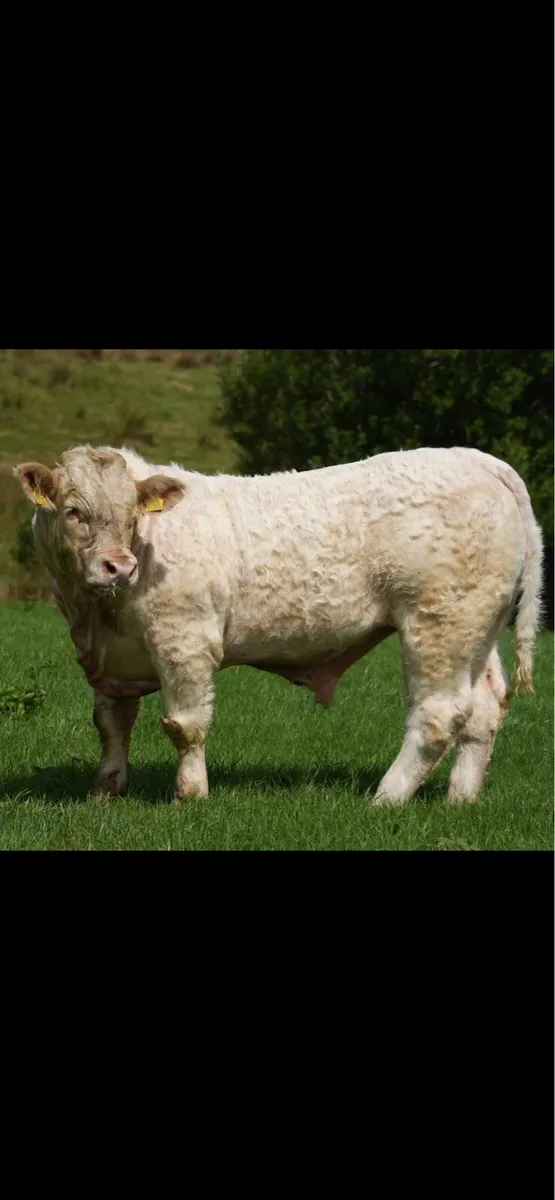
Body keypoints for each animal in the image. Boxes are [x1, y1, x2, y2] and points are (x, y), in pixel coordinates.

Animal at [15, 444, 543, 806]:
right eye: (72, 511)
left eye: (130, 516)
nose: (118, 567)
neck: (96, 616)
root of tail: (477, 459)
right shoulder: (111, 658)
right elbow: (111, 724)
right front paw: (105, 790)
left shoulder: (185, 640)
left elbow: (185, 725)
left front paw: (191, 794)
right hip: (476, 626)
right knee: (484, 708)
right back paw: (460, 798)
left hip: (437, 621)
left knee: (440, 713)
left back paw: (386, 797)